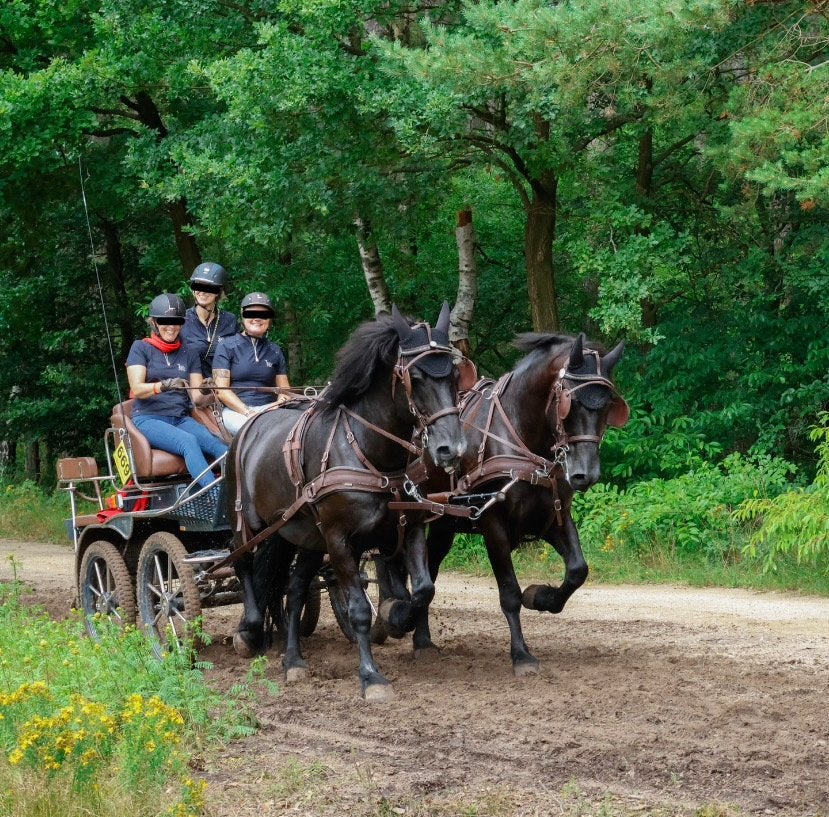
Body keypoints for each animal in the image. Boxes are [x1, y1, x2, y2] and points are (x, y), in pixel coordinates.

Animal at [225, 303, 466, 700]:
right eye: (416, 377)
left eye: (454, 374)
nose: (452, 449)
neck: (371, 453)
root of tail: (249, 427)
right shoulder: (339, 541)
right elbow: (359, 611)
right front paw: (371, 677)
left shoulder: (410, 528)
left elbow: (423, 590)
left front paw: (396, 616)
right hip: (249, 522)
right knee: (242, 562)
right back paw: (250, 630)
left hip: (301, 534)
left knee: (293, 588)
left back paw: (293, 660)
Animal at [407, 332, 628, 675]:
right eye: (570, 403)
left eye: (607, 405)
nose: (585, 474)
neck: (521, 437)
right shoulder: (493, 523)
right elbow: (509, 593)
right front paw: (522, 655)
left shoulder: (553, 517)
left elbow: (578, 570)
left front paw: (541, 597)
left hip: (443, 523)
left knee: (429, 568)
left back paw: (422, 639)